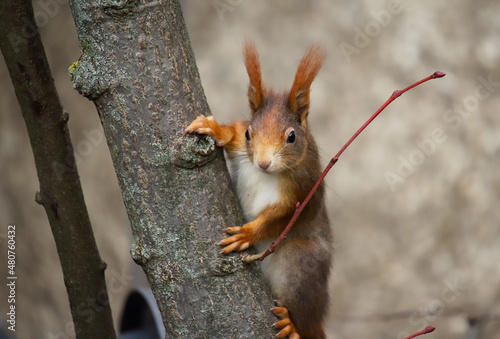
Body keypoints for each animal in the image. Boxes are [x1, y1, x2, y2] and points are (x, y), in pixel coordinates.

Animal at [184, 41, 332, 338]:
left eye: (292, 137)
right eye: (250, 134)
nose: (263, 162)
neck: (268, 174)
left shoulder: (303, 191)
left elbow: (279, 217)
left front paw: (247, 234)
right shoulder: (242, 145)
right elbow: (231, 135)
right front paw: (214, 128)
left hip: (300, 268)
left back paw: (293, 326)